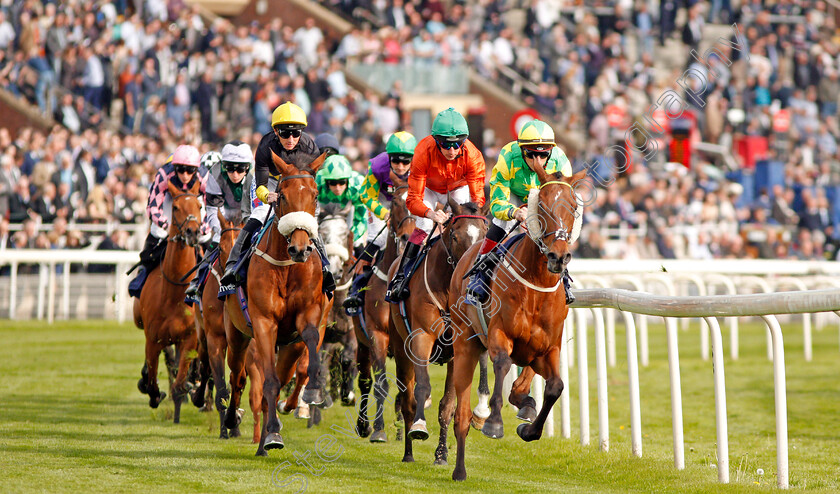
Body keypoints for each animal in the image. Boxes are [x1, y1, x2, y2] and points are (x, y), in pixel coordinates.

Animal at [137, 179, 206, 422]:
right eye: (175, 207)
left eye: (199, 205)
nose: (193, 232)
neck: (174, 294)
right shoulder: (152, 340)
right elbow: (152, 381)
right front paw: (155, 394)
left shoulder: (188, 340)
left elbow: (179, 384)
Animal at [220, 151, 332, 456]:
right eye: (281, 195)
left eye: (315, 195)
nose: (300, 249)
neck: (286, 267)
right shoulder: (263, 323)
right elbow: (268, 381)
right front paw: (271, 435)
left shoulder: (308, 317)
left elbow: (307, 357)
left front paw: (312, 392)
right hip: (236, 336)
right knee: (238, 378)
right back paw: (236, 421)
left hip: (290, 344)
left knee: (288, 374)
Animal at [350, 179, 416, 442]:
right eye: (396, 202)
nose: (408, 236)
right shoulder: (377, 335)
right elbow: (380, 384)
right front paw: (377, 429)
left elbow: (405, 386)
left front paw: (403, 430)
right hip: (361, 343)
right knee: (365, 381)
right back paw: (363, 425)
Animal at [388, 200, 488, 464]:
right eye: (454, 235)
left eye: (485, 235)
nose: (470, 266)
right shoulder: (421, 337)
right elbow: (421, 389)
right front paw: (419, 428)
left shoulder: (459, 349)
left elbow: (448, 405)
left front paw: (442, 454)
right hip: (401, 348)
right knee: (407, 400)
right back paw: (408, 452)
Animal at [450, 168, 588, 480]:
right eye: (543, 206)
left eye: (574, 207)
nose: (558, 256)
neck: (537, 286)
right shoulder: (500, 334)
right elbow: (501, 365)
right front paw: (494, 422)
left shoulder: (547, 349)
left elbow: (555, 387)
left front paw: (528, 428)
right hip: (464, 344)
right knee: (460, 415)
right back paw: (459, 469)